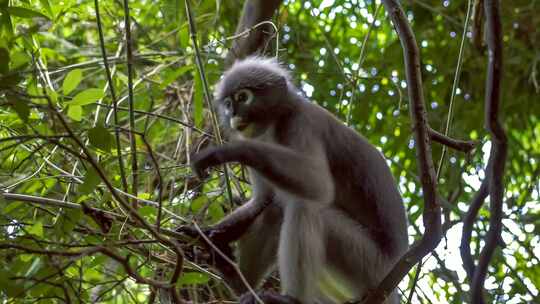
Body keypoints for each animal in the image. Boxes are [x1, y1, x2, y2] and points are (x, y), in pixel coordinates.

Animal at [179, 57, 408, 304]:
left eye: (243, 97)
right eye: (229, 104)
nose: (233, 115)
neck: (277, 121)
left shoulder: (303, 123)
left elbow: (318, 184)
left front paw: (225, 152)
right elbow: (262, 200)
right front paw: (208, 236)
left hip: (369, 266)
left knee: (306, 205)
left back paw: (288, 298)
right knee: (274, 210)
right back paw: (237, 281)